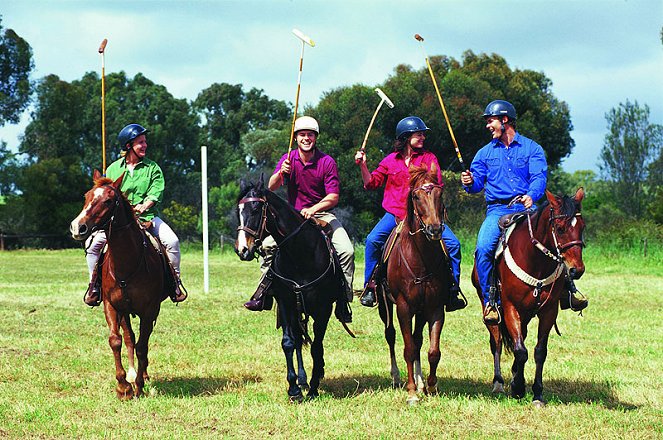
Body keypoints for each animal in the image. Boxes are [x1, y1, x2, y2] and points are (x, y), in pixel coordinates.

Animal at [69, 170, 174, 400]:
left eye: (108, 200)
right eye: (86, 196)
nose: (77, 227)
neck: (127, 264)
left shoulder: (149, 310)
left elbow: (142, 345)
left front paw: (139, 384)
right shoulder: (112, 305)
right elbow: (116, 340)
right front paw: (123, 386)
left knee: (141, 342)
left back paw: (142, 376)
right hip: (125, 311)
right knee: (129, 338)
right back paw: (133, 374)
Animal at [236, 177, 356, 400]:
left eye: (256, 209)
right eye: (239, 210)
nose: (242, 250)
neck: (301, 253)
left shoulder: (323, 309)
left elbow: (317, 347)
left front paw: (315, 387)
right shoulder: (286, 303)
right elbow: (289, 343)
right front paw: (294, 389)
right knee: (299, 340)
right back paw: (302, 380)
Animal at [376, 164, 454, 406]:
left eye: (439, 194)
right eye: (416, 196)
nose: (435, 229)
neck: (421, 259)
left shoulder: (435, 308)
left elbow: (432, 350)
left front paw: (431, 386)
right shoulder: (403, 307)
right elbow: (408, 348)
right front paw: (411, 393)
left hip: (421, 311)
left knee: (418, 339)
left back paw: (420, 382)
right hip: (385, 305)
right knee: (391, 335)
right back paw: (396, 377)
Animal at [472, 187, 588, 408]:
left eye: (582, 227)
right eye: (560, 228)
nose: (576, 270)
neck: (535, 262)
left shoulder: (549, 311)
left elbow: (538, 351)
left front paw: (536, 393)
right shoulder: (510, 307)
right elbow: (520, 350)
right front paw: (518, 388)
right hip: (492, 310)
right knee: (497, 342)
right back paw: (499, 383)